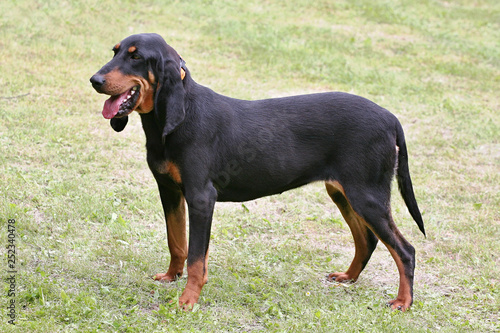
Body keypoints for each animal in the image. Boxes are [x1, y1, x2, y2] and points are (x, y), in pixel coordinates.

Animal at [91, 32, 426, 310]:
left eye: (136, 57)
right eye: (115, 51)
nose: (94, 80)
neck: (178, 118)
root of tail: (391, 118)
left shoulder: (201, 198)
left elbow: (196, 257)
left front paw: (188, 300)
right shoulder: (170, 191)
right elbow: (177, 243)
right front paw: (172, 277)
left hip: (367, 195)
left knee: (405, 250)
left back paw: (403, 302)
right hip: (342, 192)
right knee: (367, 240)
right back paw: (348, 277)